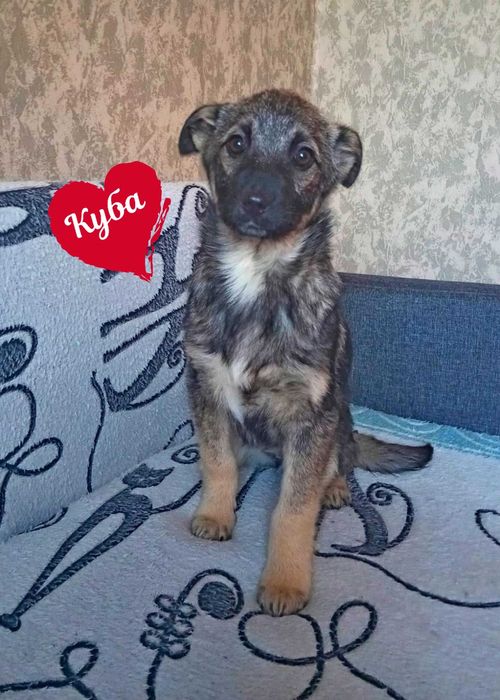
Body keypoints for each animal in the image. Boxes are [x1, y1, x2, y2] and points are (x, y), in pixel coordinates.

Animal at [178, 89, 433, 616]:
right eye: (235, 144)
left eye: (302, 156)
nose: (255, 200)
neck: (256, 273)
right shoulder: (206, 386)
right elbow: (216, 460)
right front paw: (214, 513)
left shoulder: (312, 414)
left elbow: (294, 509)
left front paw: (285, 582)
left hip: (338, 420)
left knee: (342, 459)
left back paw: (333, 487)